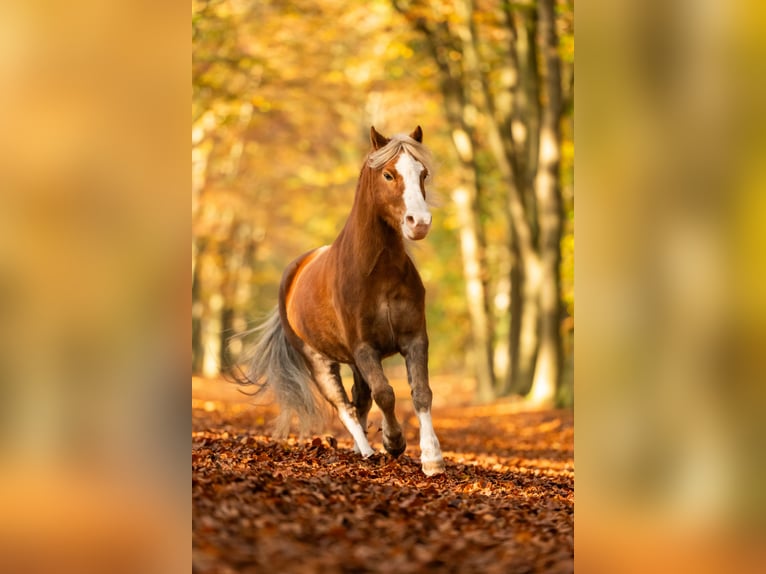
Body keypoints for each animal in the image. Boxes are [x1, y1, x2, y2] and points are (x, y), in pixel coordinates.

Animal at [236, 125, 445, 476]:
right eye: (388, 174)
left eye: (423, 173)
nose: (419, 223)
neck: (378, 273)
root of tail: (294, 272)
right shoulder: (364, 348)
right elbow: (385, 394)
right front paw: (393, 442)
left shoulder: (414, 338)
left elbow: (421, 393)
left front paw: (432, 458)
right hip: (319, 361)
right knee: (343, 404)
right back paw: (367, 451)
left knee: (359, 398)